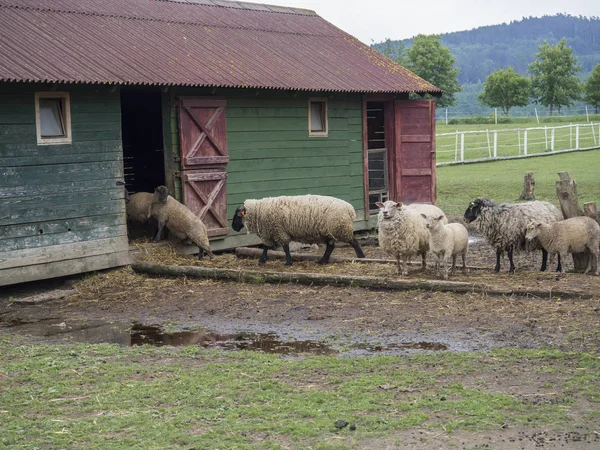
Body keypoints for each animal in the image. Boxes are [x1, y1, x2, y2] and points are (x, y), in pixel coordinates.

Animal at [232, 194, 366, 266]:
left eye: (238, 215)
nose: (233, 227)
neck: (259, 211)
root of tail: (350, 210)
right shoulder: (269, 232)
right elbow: (266, 247)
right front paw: (262, 260)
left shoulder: (279, 231)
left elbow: (285, 247)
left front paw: (288, 262)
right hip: (328, 232)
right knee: (330, 247)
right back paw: (322, 261)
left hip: (340, 229)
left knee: (353, 241)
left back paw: (361, 256)